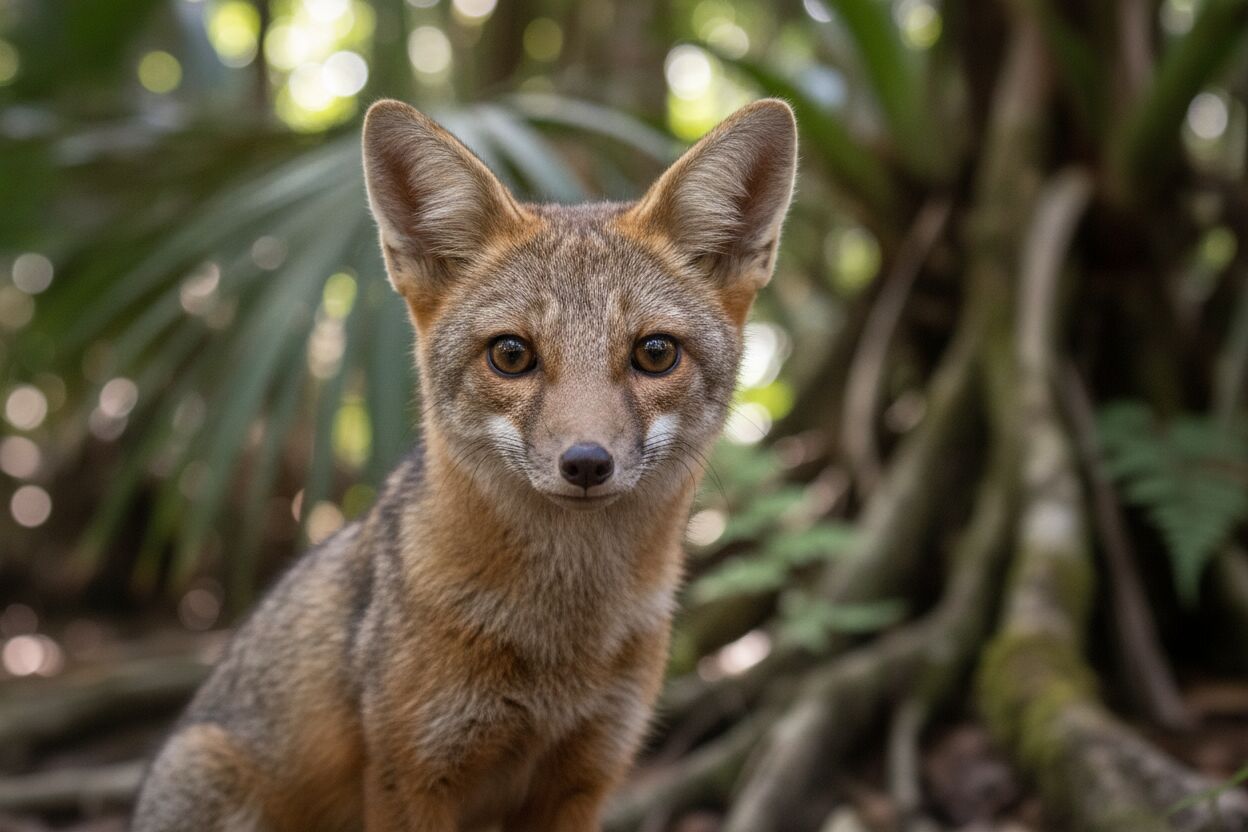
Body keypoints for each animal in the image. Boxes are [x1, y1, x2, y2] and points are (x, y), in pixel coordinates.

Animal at [131, 97, 797, 832]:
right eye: (511, 355)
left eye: (655, 353)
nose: (586, 462)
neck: (562, 641)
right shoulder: (413, 774)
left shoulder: (584, 774)